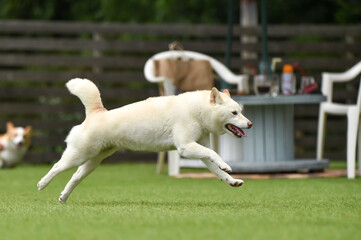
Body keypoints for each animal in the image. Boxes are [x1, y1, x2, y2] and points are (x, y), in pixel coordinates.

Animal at [35, 78, 250, 202]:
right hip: (78, 155)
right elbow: (214, 154)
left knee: (75, 176)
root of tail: (97, 112)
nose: (250, 124)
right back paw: (42, 184)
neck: (198, 111)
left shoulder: (199, 150)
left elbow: (216, 167)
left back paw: (64, 196)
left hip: (92, 162)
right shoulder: (185, 147)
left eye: (241, 111)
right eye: (234, 113)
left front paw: (231, 180)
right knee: (57, 167)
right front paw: (226, 165)